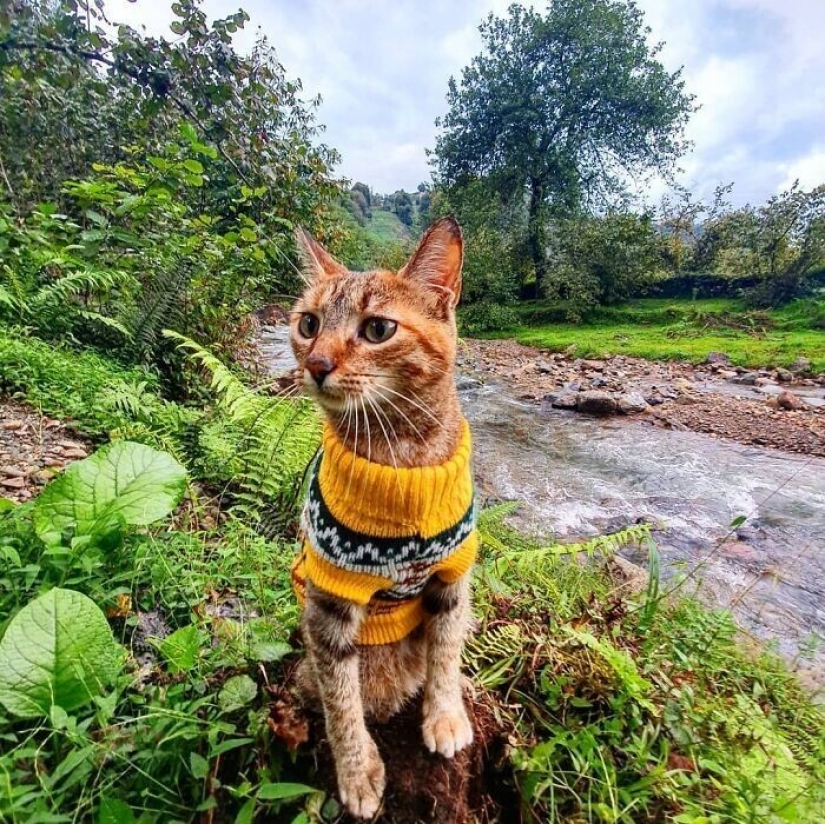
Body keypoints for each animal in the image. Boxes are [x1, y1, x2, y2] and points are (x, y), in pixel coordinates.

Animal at [288, 217, 476, 816]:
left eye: (377, 329)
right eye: (308, 323)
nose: (315, 364)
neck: (402, 459)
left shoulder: (454, 573)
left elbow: (446, 651)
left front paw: (445, 714)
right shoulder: (329, 595)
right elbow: (340, 696)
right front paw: (357, 771)